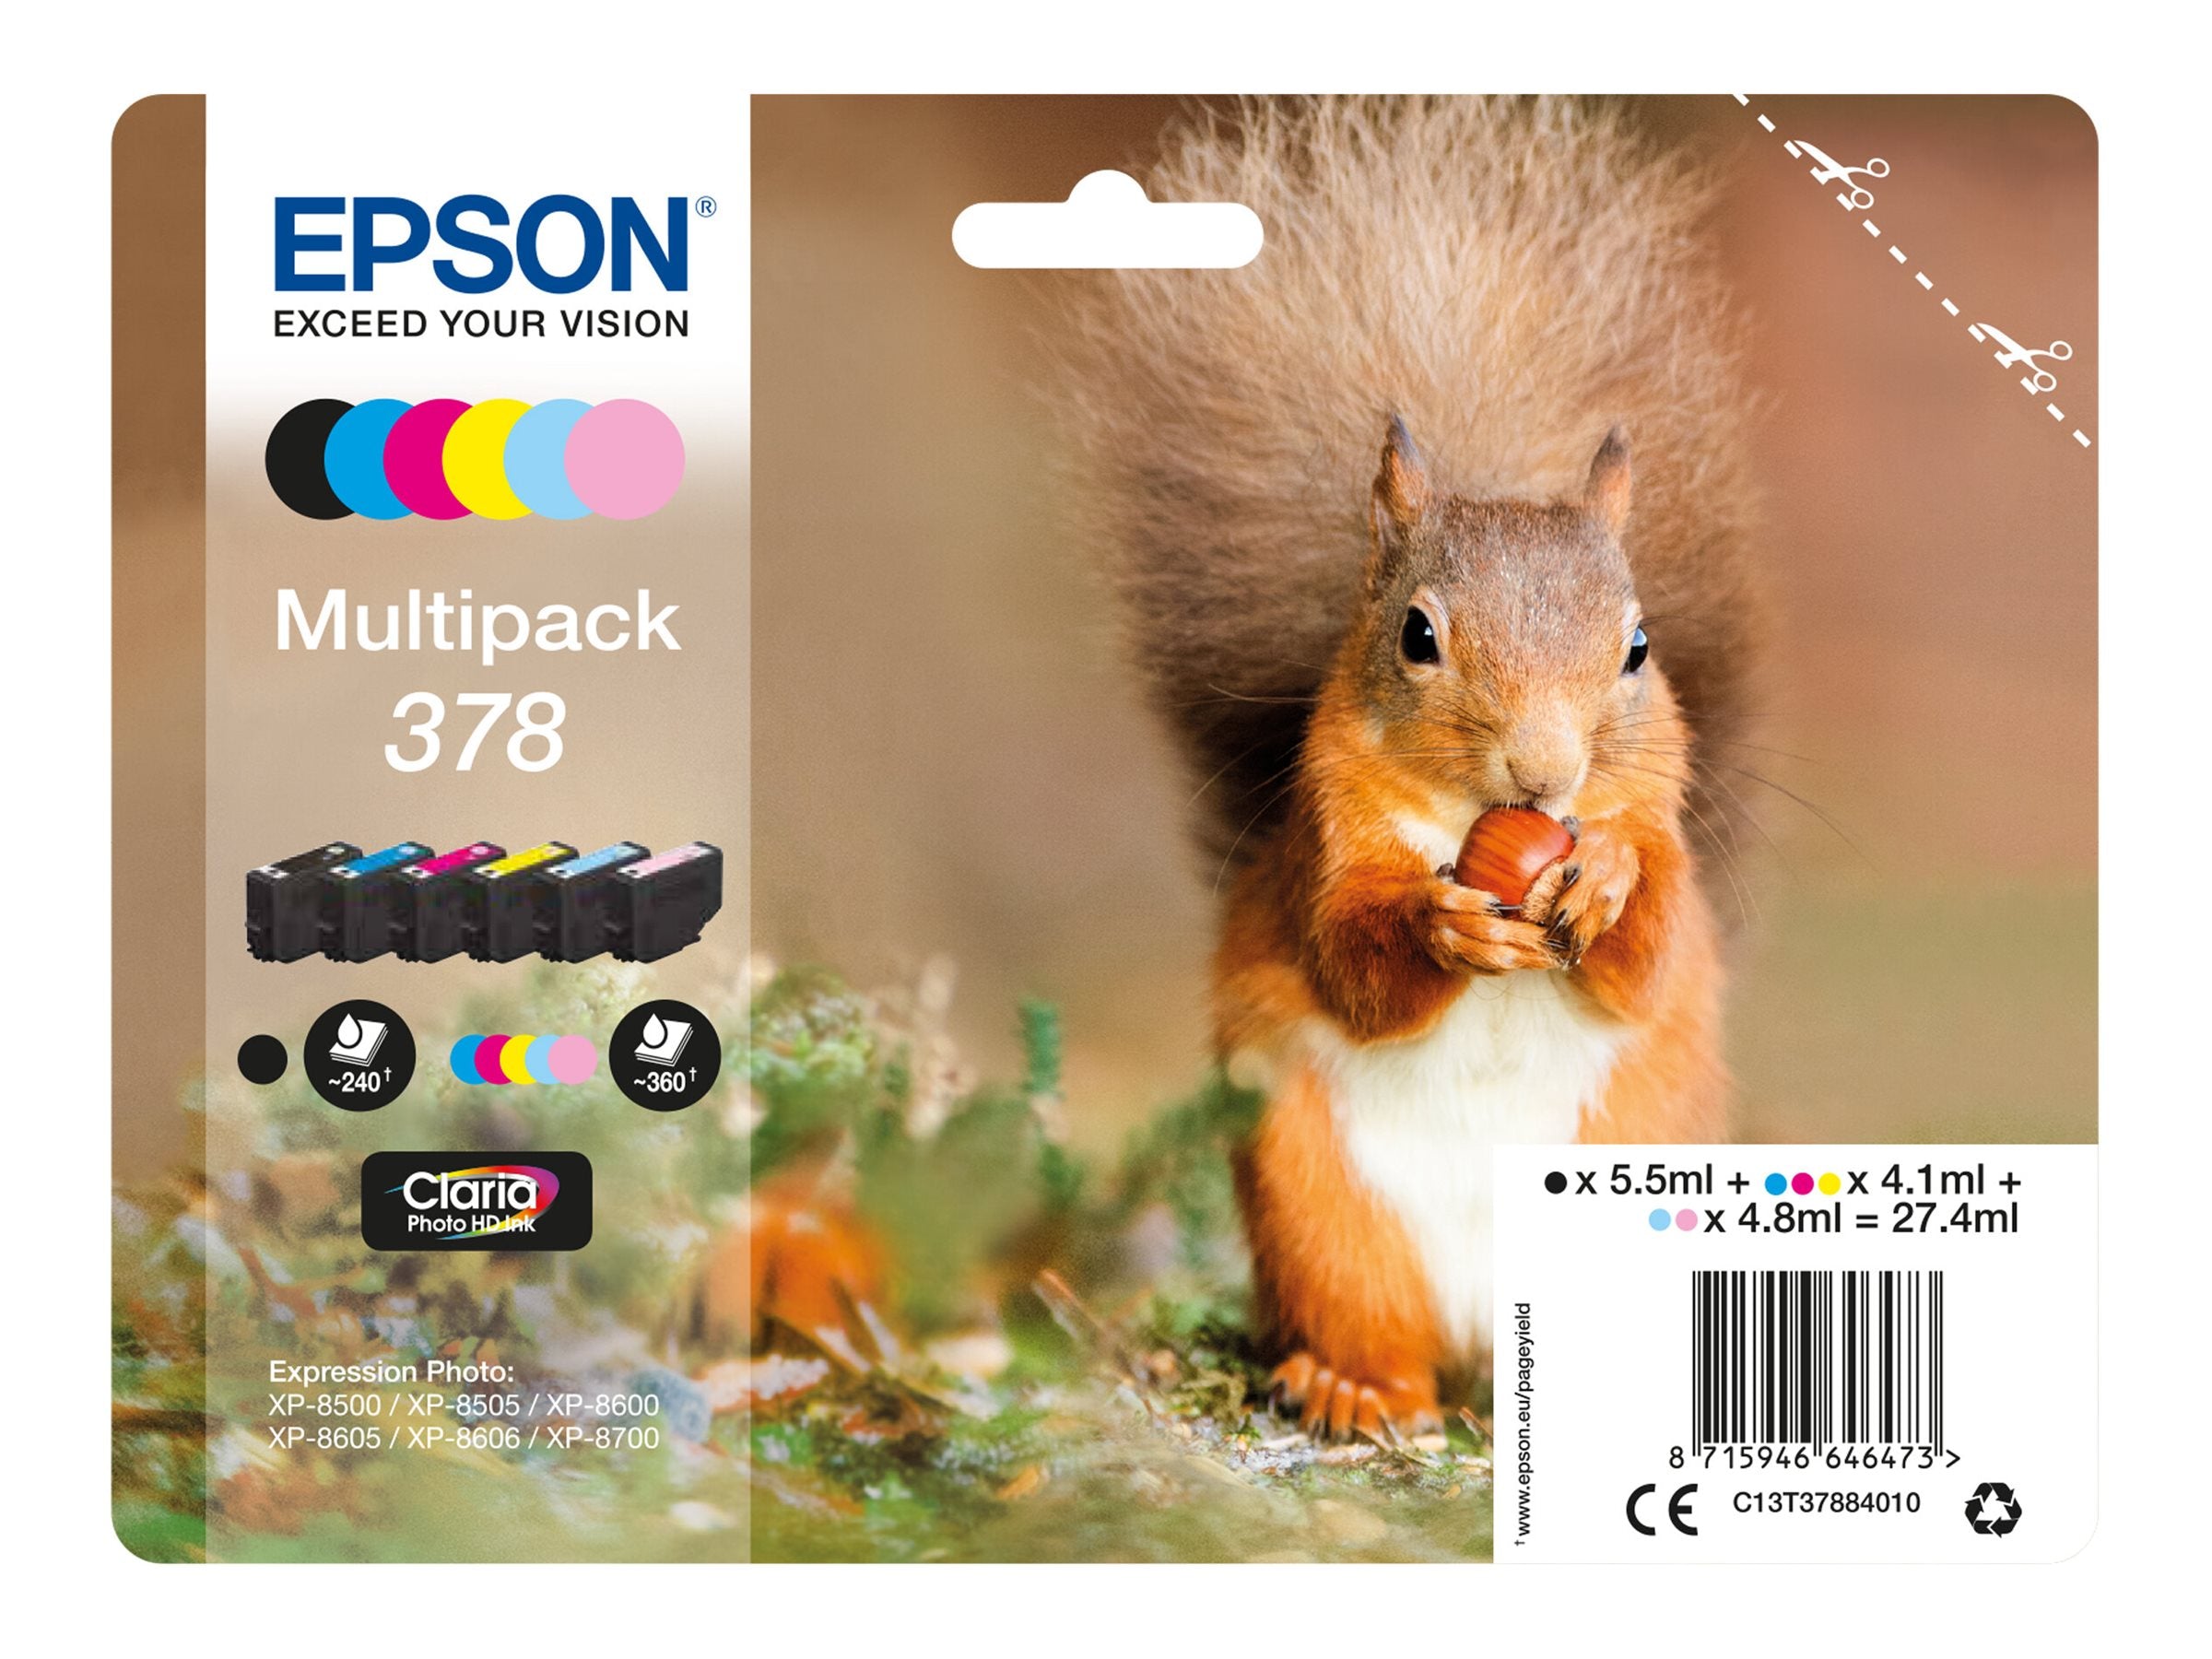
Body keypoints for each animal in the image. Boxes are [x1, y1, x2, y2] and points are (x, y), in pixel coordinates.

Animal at [1054, 98, 1768, 1438]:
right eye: (1417, 636)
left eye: (1639, 648)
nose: (1544, 770)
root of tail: (1494, 1346)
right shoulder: (1325, 844)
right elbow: (1350, 960)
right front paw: (1444, 927)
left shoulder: (1666, 836)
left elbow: (1645, 961)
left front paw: (1602, 886)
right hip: (1323, 1212)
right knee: (1376, 1332)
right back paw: (1353, 1388)